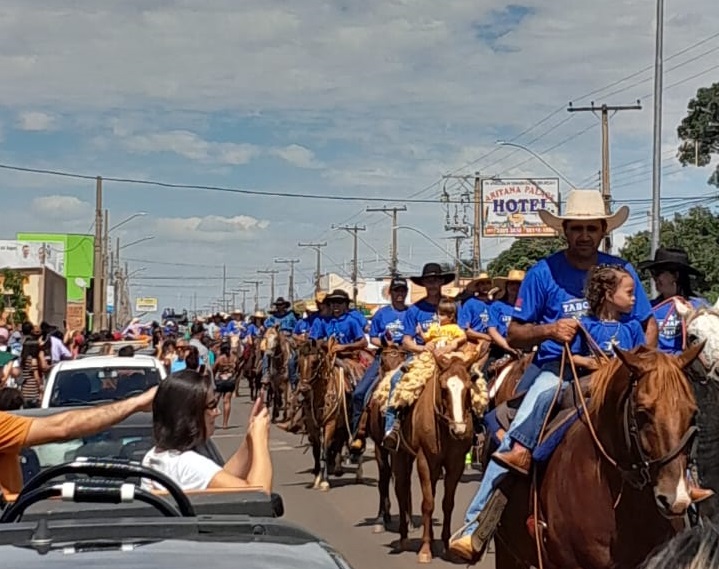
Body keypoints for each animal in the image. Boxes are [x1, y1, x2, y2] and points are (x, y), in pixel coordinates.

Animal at [390, 352, 480, 560]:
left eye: (468, 387)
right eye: (444, 388)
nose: (459, 429)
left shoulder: (456, 463)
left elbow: (447, 503)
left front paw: (446, 545)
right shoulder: (424, 460)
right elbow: (428, 503)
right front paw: (425, 549)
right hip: (401, 456)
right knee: (401, 491)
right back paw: (404, 538)